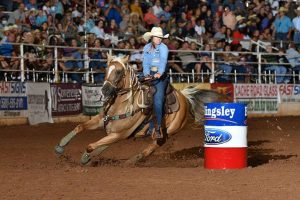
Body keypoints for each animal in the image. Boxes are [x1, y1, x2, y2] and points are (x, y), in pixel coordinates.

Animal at [54, 54, 229, 164]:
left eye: (119, 71)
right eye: (106, 69)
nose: (104, 90)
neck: (122, 105)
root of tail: (184, 97)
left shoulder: (120, 134)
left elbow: (90, 145)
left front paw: (85, 158)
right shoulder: (101, 121)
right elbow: (80, 127)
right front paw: (60, 146)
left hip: (169, 130)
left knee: (154, 145)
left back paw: (135, 159)